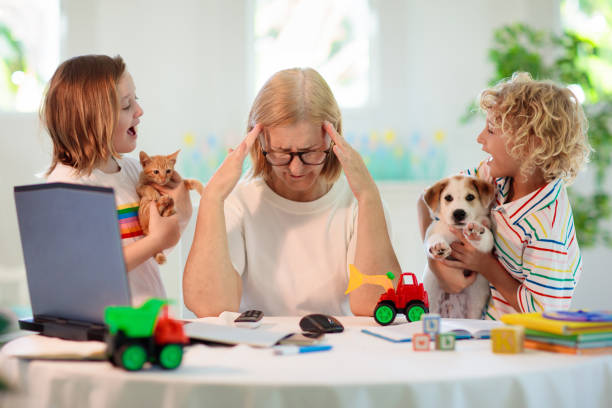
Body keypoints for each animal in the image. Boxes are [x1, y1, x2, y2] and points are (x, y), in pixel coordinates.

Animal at [424, 175, 494, 318]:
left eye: (470, 197)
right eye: (448, 198)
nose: (459, 213)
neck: (458, 231)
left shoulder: (487, 240)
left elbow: (487, 237)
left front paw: (477, 232)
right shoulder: (433, 231)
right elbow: (434, 238)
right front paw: (437, 246)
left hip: (474, 306)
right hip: (432, 301)